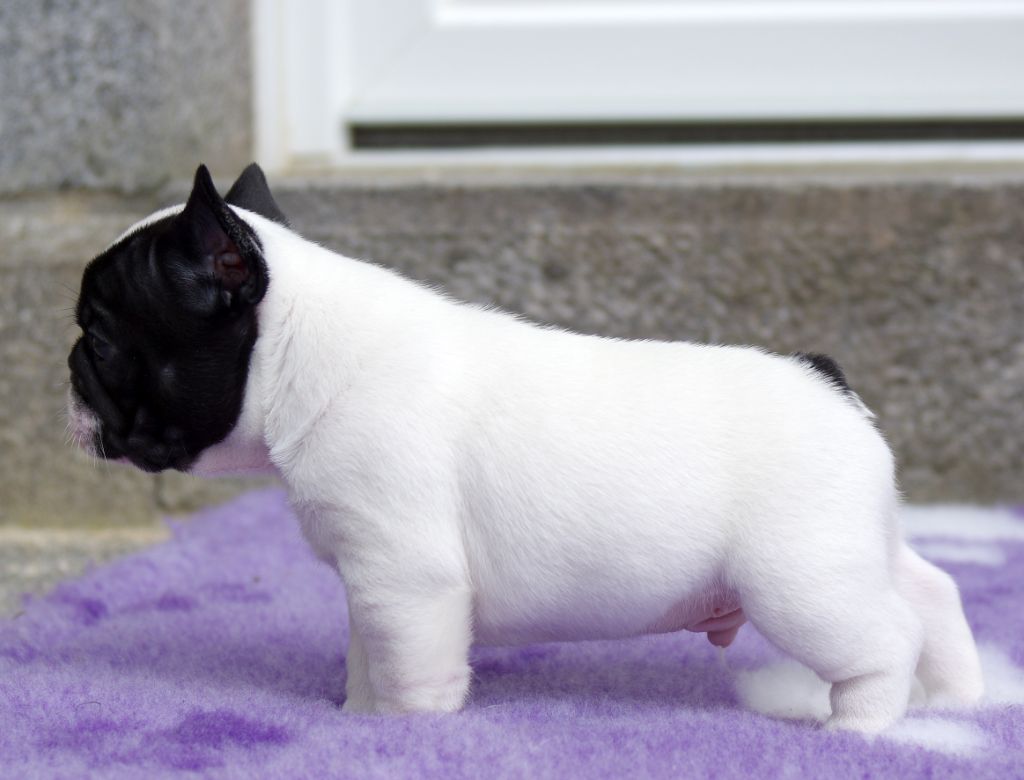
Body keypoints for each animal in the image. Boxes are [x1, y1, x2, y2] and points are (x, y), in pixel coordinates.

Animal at [67, 163, 983, 731]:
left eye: (101, 338)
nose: (68, 368)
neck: (304, 351)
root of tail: (824, 378)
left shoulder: (407, 576)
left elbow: (411, 670)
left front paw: (405, 734)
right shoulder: (375, 582)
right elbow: (369, 656)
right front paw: (359, 722)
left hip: (800, 579)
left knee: (882, 637)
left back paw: (864, 725)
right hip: (856, 545)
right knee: (929, 592)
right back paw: (956, 701)